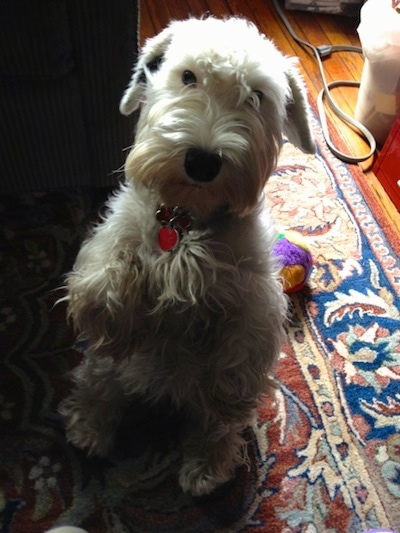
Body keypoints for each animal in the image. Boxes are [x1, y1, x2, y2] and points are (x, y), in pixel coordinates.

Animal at [60, 18, 316, 496]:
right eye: (188, 77)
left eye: (257, 96)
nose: (202, 161)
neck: (185, 219)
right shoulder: (120, 227)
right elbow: (104, 274)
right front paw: (116, 316)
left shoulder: (252, 296)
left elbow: (234, 367)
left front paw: (224, 405)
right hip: (105, 373)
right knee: (99, 383)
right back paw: (88, 428)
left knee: (211, 424)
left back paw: (206, 467)